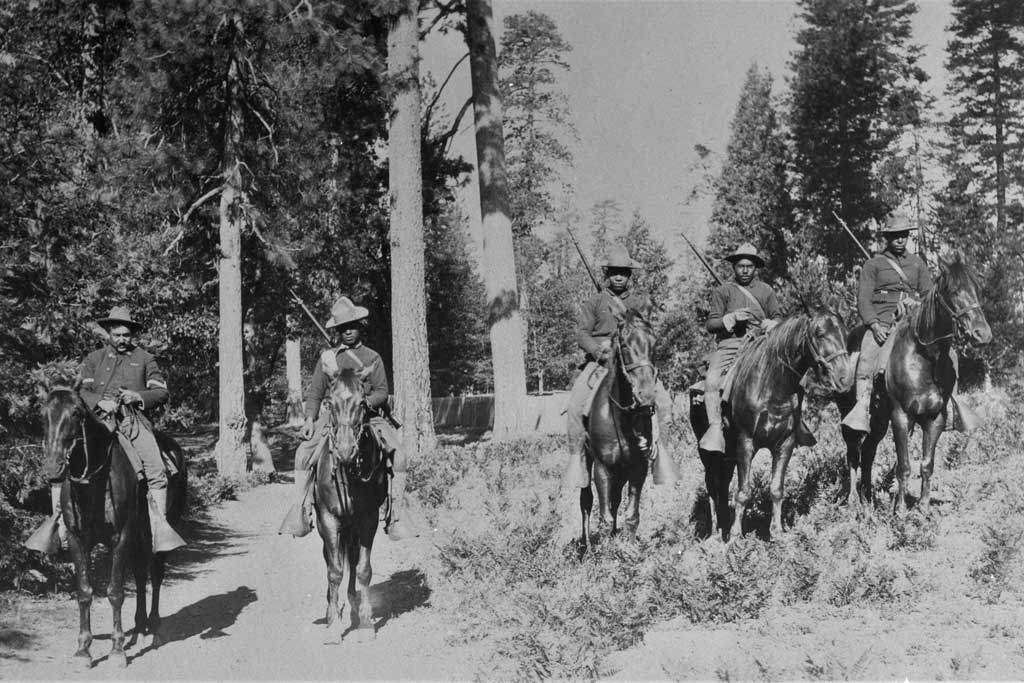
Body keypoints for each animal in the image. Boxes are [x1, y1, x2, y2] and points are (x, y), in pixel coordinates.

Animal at [38, 385, 186, 667]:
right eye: (44, 414)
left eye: (76, 413)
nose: (53, 469)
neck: (94, 483)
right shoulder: (77, 539)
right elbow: (84, 592)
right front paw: (83, 649)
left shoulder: (121, 536)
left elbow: (115, 592)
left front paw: (117, 650)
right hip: (139, 536)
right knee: (140, 573)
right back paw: (139, 628)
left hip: (160, 529)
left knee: (155, 573)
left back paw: (154, 628)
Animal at [311, 368, 387, 643]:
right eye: (330, 403)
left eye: (362, 404)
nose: (345, 450)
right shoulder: (329, 520)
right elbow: (334, 570)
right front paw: (334, 625)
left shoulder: (368, 519)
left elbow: (363, 569)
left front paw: (365, 623)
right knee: (331, 560)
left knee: (352, 562)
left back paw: (353, 605)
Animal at [581, 307, 659, 552]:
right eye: (624, 344)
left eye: (654, 342)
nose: (646, 396)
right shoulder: (602, 468)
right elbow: (604, 517)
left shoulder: (638, 468)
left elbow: (631, 515)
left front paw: (629, 551)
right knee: (585, 501)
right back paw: (586, 549)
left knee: (614, 501)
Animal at [688, 313, 856, 540]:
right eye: (820, 334)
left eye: (845, 334)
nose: (845, 379)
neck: (772, 384)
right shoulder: (745, 442)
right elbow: (743, 492)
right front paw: (735, 537)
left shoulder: (785, 444)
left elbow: (776, 489)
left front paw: (777, 532)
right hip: (708, 453)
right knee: (712, 485)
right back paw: (715, 532)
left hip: (728, 454)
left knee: (721, 485)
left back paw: (723, 525)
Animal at [839, 253, 991, 516]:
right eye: (953, 291)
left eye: (978, 289)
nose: (982, 334)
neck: (924, 360)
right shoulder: (901, 416)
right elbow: (904, 465)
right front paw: (900, 510)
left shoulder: (935, 418)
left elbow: (927, 464)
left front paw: (923, 508)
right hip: (854, 418)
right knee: (853, 454)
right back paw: (854, 501)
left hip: (879, 421)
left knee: (868, 451)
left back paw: (868, 497)